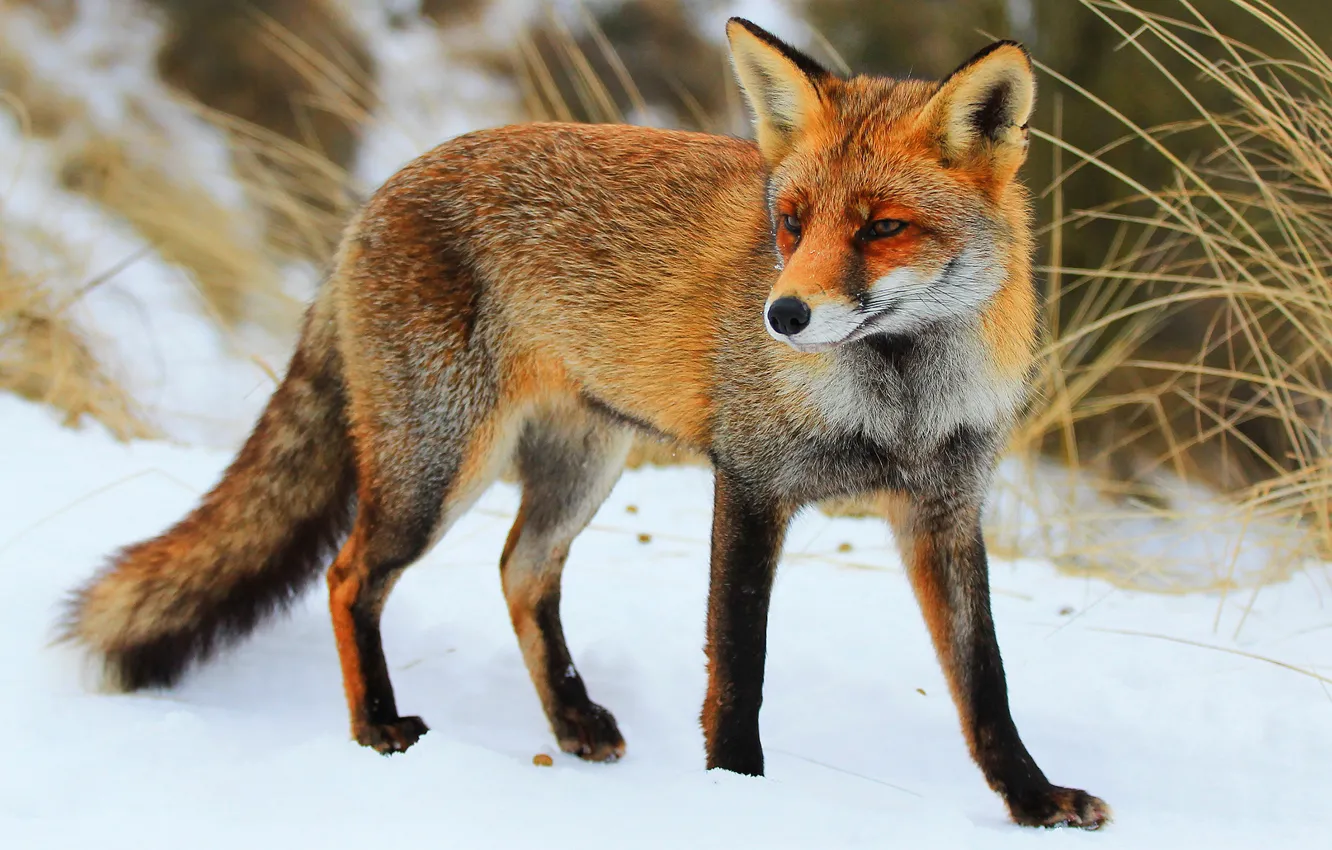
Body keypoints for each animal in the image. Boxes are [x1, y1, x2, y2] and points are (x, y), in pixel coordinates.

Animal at [64, 19, 1109, 829]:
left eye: (883, 227)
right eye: (792, 222)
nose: (782, 316)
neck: (899, 399)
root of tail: (375, 198)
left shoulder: (945, 508)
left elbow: (985, 681)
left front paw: (1034, 801)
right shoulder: (753, 482)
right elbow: (740, 664)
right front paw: (738, 794)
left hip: (584, 463)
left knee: (519, 571)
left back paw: (570, 723)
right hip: (439, 468)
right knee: (349, 573)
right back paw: (376, 729)